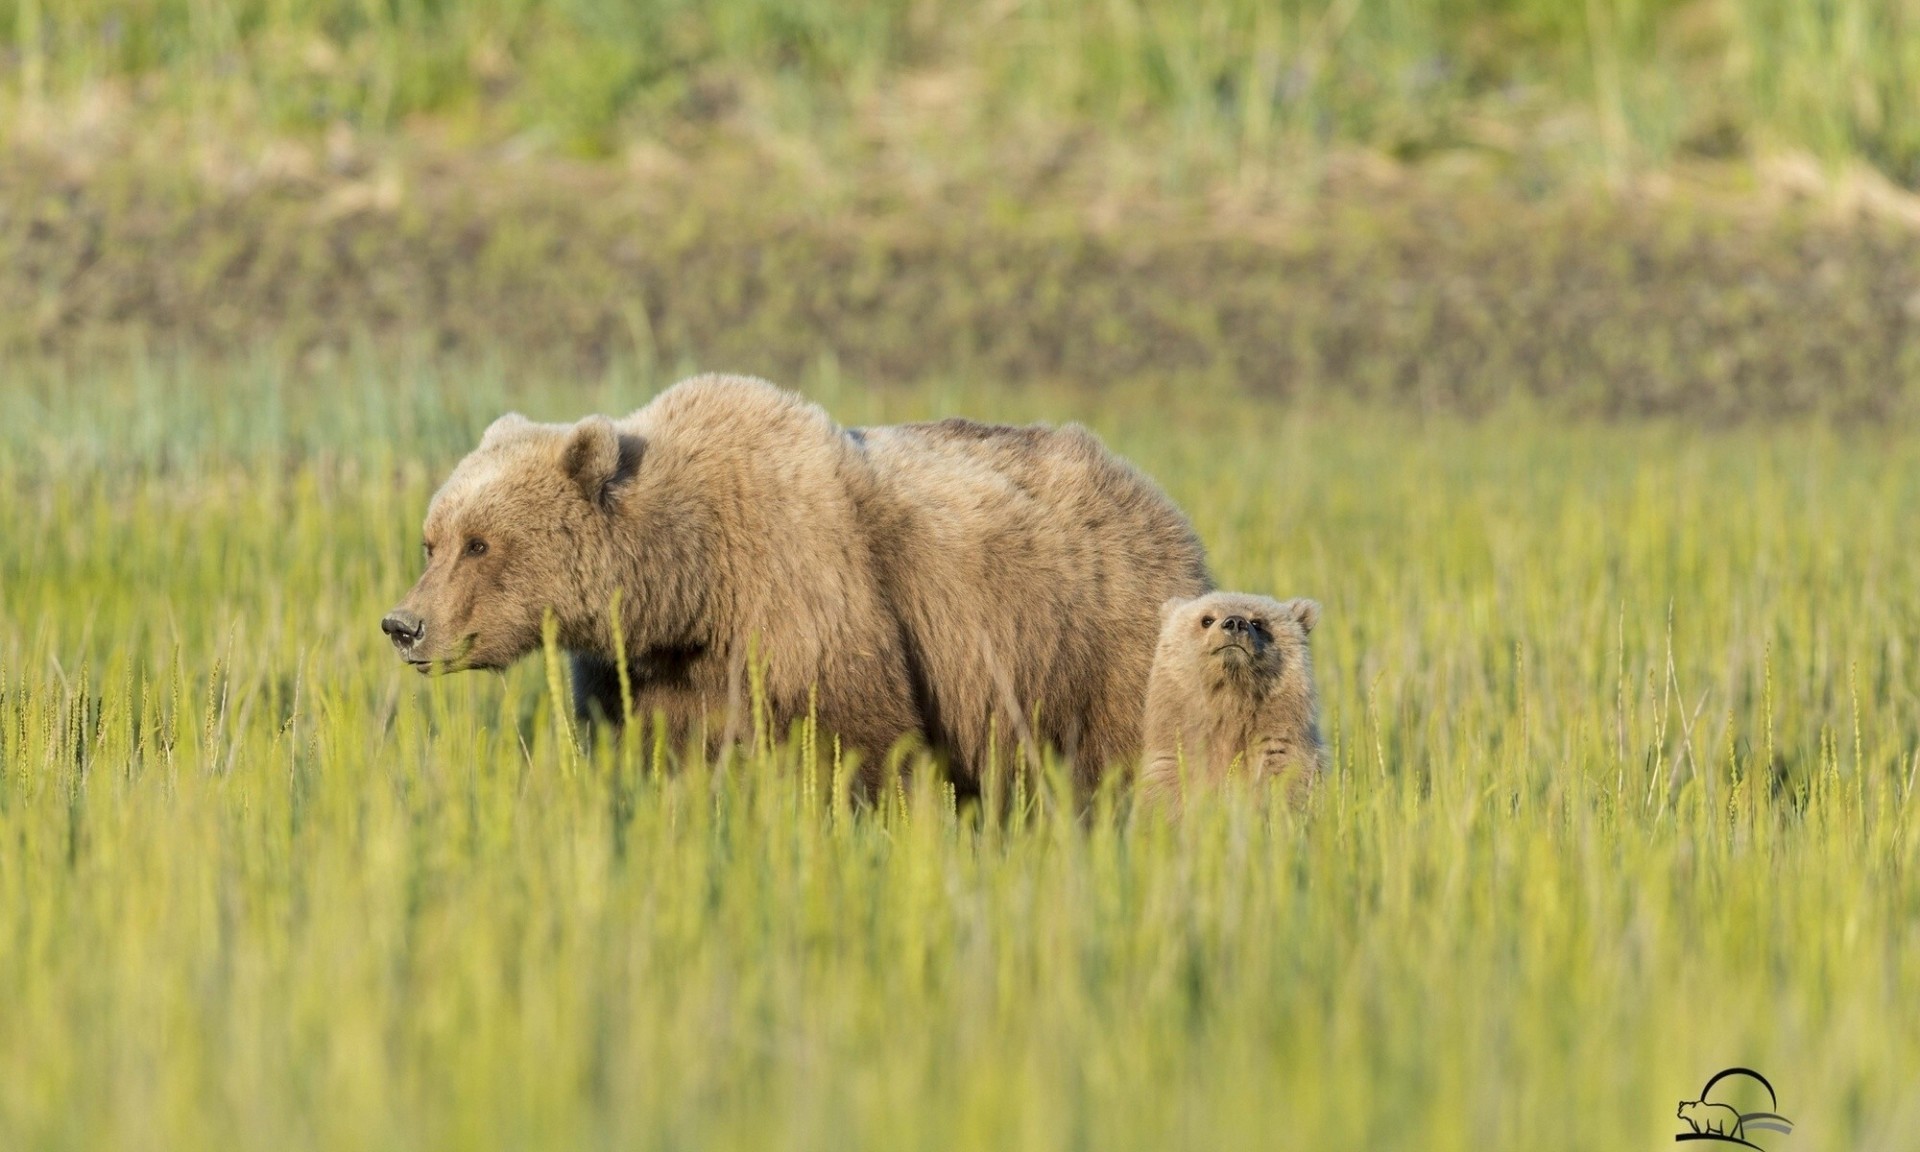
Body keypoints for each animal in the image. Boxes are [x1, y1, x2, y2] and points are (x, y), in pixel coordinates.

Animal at [381, 373, 1212, 794]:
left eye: (480, 543)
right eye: (432, 539)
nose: (403, 625)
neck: (692, 587)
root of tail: (1164, 506)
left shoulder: (810, 595)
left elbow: (856, 742)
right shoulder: (648, 671)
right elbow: (652, 755)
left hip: (1095, 649)